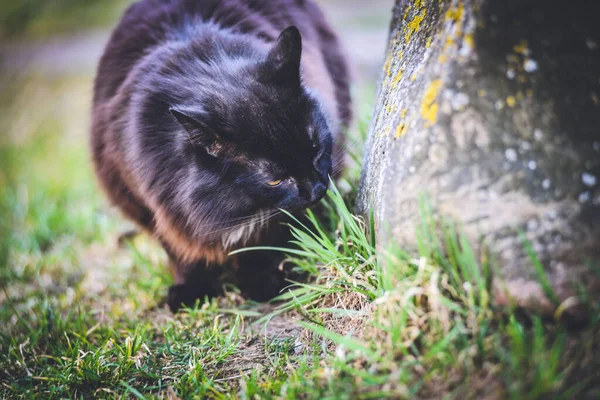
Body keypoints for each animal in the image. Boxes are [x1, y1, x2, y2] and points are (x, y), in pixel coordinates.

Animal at [89, 0, 352, 312]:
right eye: (275, 180)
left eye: (315, 150)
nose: (317, 190)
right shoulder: (153, 204)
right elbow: (181, 251)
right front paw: (191, 289)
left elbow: (262, 243)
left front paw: (261, 281)